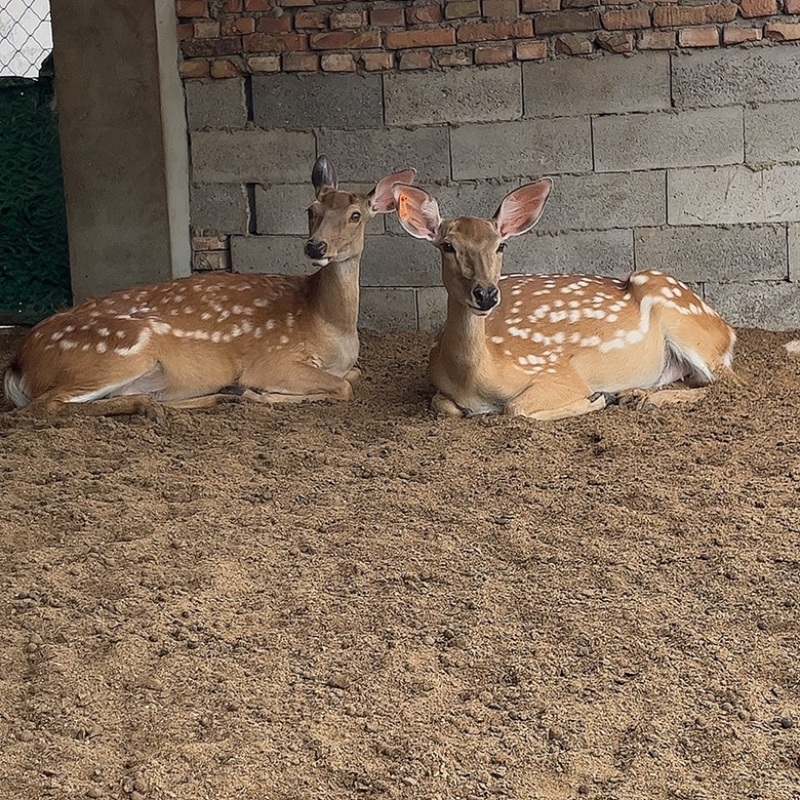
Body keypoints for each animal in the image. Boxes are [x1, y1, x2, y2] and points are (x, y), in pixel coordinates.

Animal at [3, 156, 416, 417]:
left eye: (356, 215)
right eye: (310, 210)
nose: (316, 247)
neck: (329, 324)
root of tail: (18, 362)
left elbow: (352, 376)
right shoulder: (273, 360)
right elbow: (342, 386)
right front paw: (256, 392)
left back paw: (204, 400)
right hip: (117, 352)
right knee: (45, 406)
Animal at [391, 179, 737, 421]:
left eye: (501, 245)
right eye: (447, 245)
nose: (486, 293)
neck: (477, 378)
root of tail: (728, 331)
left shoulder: (558, 372)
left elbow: (515, 407)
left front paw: (597, 399)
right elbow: (443, 405)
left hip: (683, 319)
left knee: (727, 383)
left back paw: (641, 399)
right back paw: (633, 393)